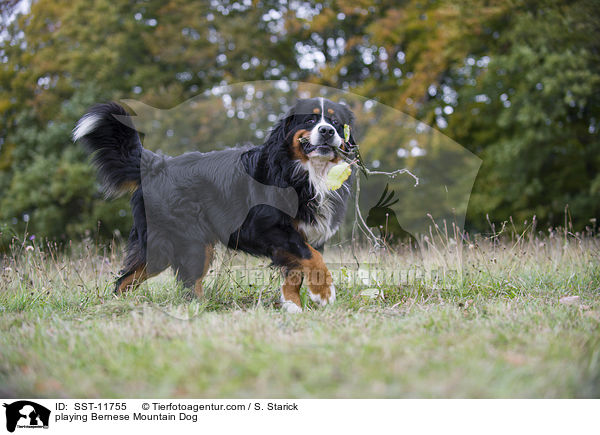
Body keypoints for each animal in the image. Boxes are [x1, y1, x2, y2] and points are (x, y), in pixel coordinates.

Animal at [74, 98, 356, 314]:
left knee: (130, 281)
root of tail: (156, 165)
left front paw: (293, 307)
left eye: (336, 122)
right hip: (180, 244)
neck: (307, 172)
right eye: (309, 120)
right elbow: (313, 257)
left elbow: (297, 271)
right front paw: (324, 292)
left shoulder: (303, 233)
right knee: (175, 282)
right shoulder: (270, 228)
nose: (327, 131)